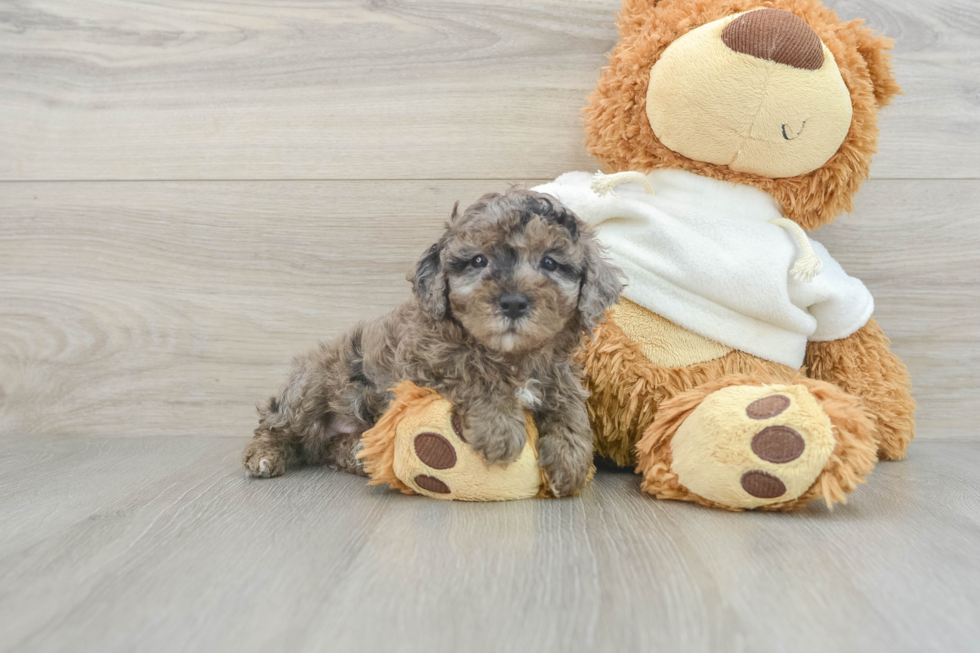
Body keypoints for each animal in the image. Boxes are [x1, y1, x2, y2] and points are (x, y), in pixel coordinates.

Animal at [242, 188, 624, 494]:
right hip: (310, 389)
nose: (513, 302)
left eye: (550, 262)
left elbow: (570, 407)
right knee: (276, 425)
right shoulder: (425, 361)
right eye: (478, 260)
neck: (511, 354)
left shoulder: (560, 374)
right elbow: (476, 374)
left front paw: (571, 460)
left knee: (326, 449)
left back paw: (356, 455)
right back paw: (264, 456)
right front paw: (500, 430)